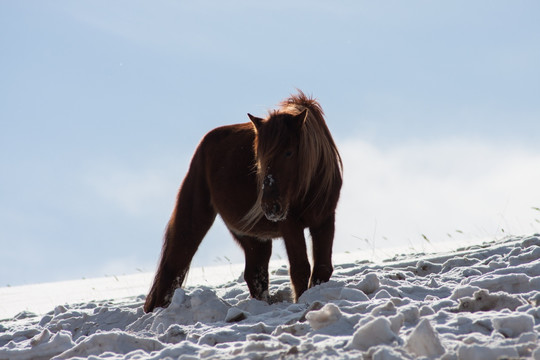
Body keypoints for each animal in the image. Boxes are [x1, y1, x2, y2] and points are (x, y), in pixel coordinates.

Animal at [143, 91, 342, 314]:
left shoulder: (325, 220)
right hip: (196, 222)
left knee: (255, 275)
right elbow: (300, 268)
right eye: (260, 157)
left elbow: (322, 267)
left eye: (289, 152)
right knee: (174, 267)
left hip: (254, 238)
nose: (270, 206)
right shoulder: (291, 224)